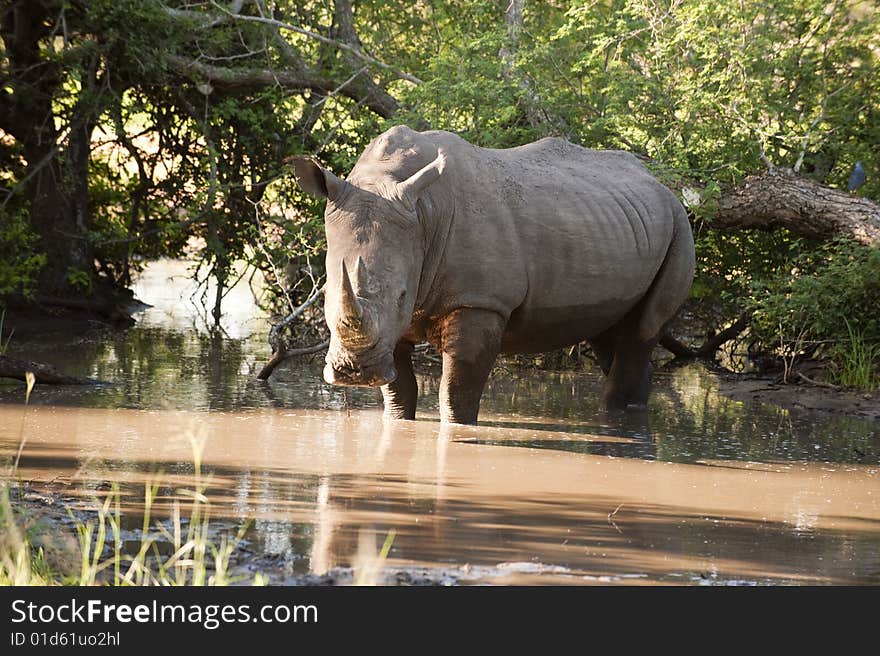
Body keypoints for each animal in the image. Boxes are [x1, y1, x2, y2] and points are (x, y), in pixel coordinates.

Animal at [292, 127, 696, 426]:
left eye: (402, 296)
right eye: (325, 293)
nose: (353, 372)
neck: (423, 212)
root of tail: (662, 184)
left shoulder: (482, 303)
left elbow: (456, 390)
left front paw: (457, 429)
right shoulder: (397, 321)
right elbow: (399, 390)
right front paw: (397, 420)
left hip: (680, 226)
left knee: (639, 335)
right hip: (620, 223)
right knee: (609, 336)